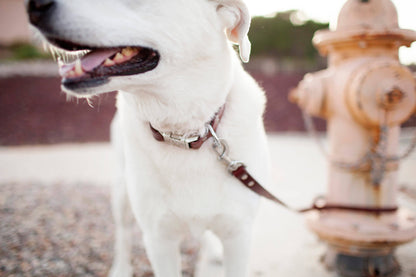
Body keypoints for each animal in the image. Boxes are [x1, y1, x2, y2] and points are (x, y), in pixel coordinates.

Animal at [27, 1, 272, 274]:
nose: (35, 5)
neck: (184, 135)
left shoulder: (238, 235)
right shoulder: (159, 239)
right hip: (122, 192)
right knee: (123, 234)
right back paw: (121, 269)